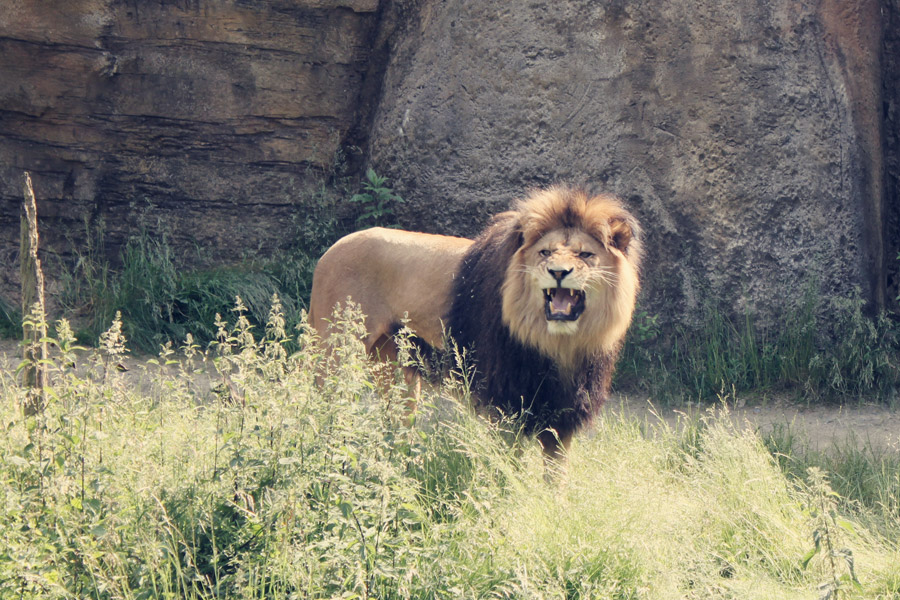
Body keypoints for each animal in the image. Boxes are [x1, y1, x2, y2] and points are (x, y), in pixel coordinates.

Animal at [309, 185, 642, 464]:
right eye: (545, 252)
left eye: (585, 254)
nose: (558, 272)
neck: (559, 343)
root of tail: (330, 251)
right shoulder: (506, 404)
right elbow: (509, 468)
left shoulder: (563, 412)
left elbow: (555, 476)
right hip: (335, 356)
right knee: (321, 408)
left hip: (395, 367)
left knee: (396, 426)